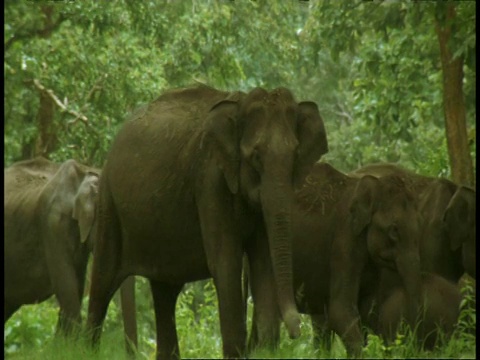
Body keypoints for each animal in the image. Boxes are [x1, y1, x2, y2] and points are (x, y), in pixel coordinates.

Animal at [86, 85, 328, 360]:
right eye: (256, 156)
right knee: (104, 278)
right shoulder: (211, 180)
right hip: (109, 202)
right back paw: (85, 348)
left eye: (296, 155)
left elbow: (264, 263)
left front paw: (266, 351)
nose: (296, 331)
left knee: (165, 291)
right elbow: (226, 262)